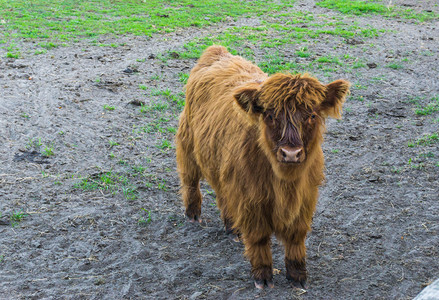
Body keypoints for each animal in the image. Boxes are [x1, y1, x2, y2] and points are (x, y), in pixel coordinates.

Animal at [175, 45, 350, 290]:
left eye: (312, 115)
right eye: (270, 115)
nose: (291, 153)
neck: (285, 183)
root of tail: (217, 51)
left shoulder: (306, 196)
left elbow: (296, 236)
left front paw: (298, 274)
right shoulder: (251, 199)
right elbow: (258, 237)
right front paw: (263, 276)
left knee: (223, 194)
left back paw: (232, 228)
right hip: (188, 142)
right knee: (190, 180)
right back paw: (193, 214)